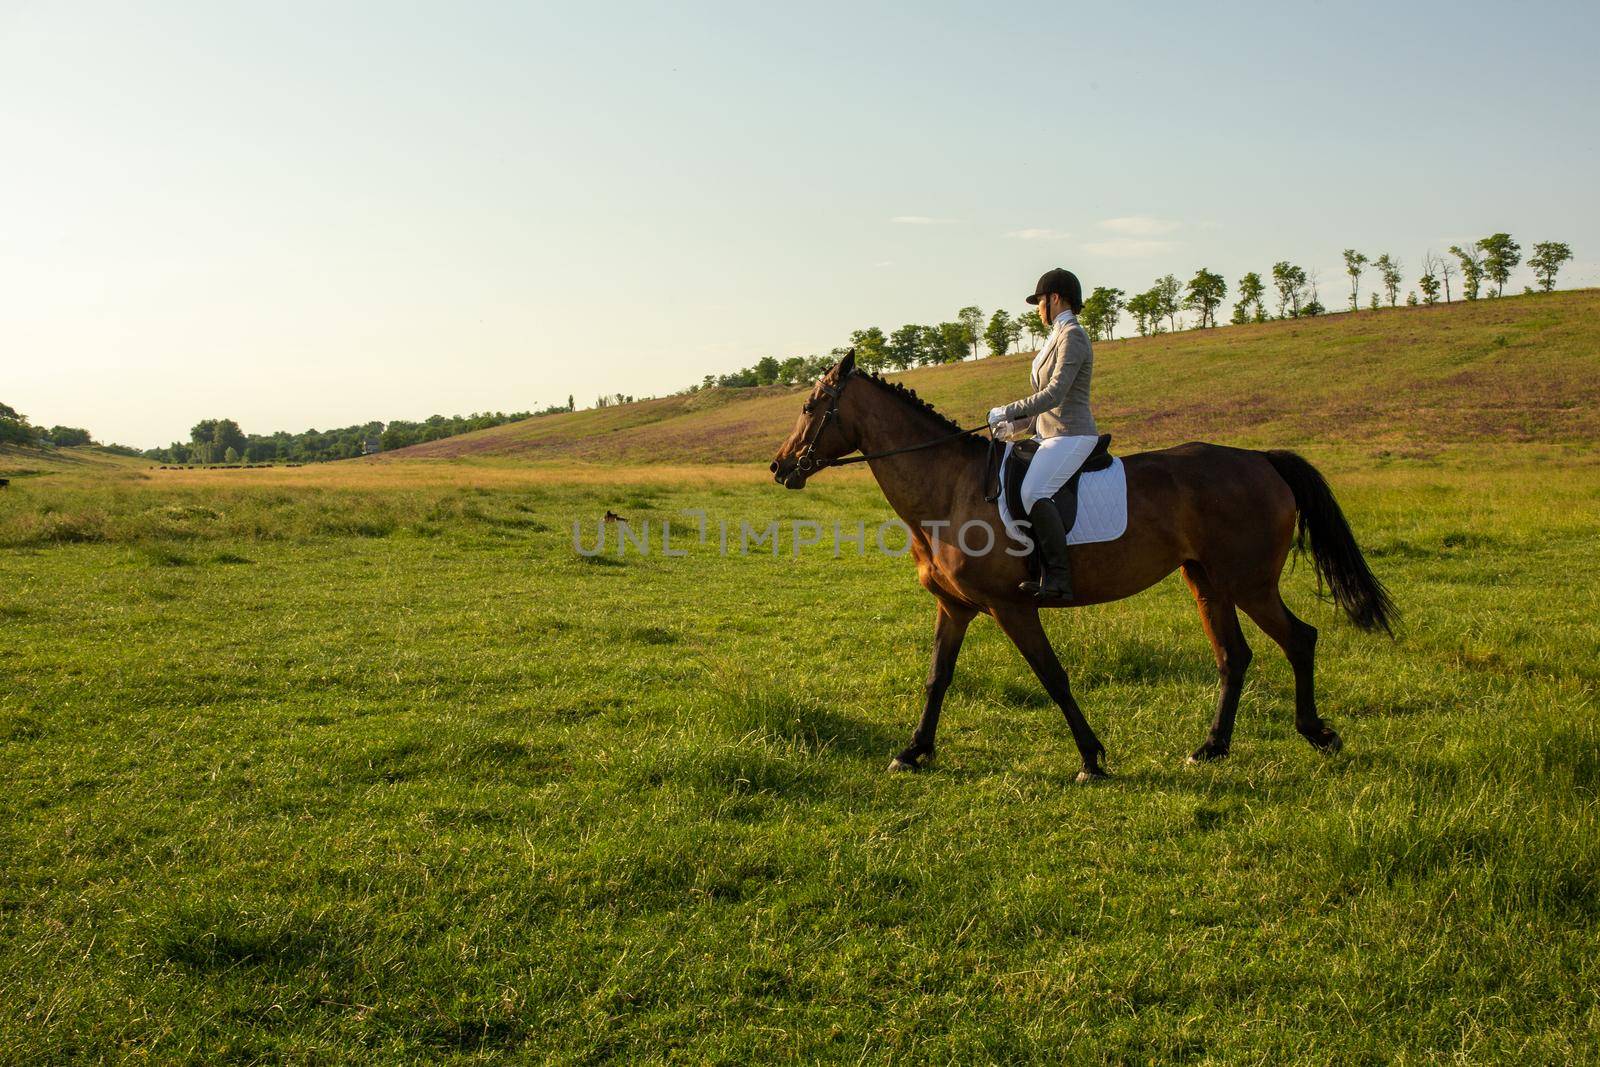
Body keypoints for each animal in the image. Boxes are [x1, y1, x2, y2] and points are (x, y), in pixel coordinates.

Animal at [768, 355, 1395, 780]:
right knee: (1233, 656)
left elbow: (1052, 676)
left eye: (809, 407)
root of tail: (1261, 460)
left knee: (1299, 639)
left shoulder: (1012, 606)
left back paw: (1316, 733)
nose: (778, 467)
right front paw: (914, 751)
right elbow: (937, 677)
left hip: (1249, 582)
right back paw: (1212, 748)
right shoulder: (956, 607)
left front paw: (1091, 759)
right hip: (1207, 581)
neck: (948, 489)